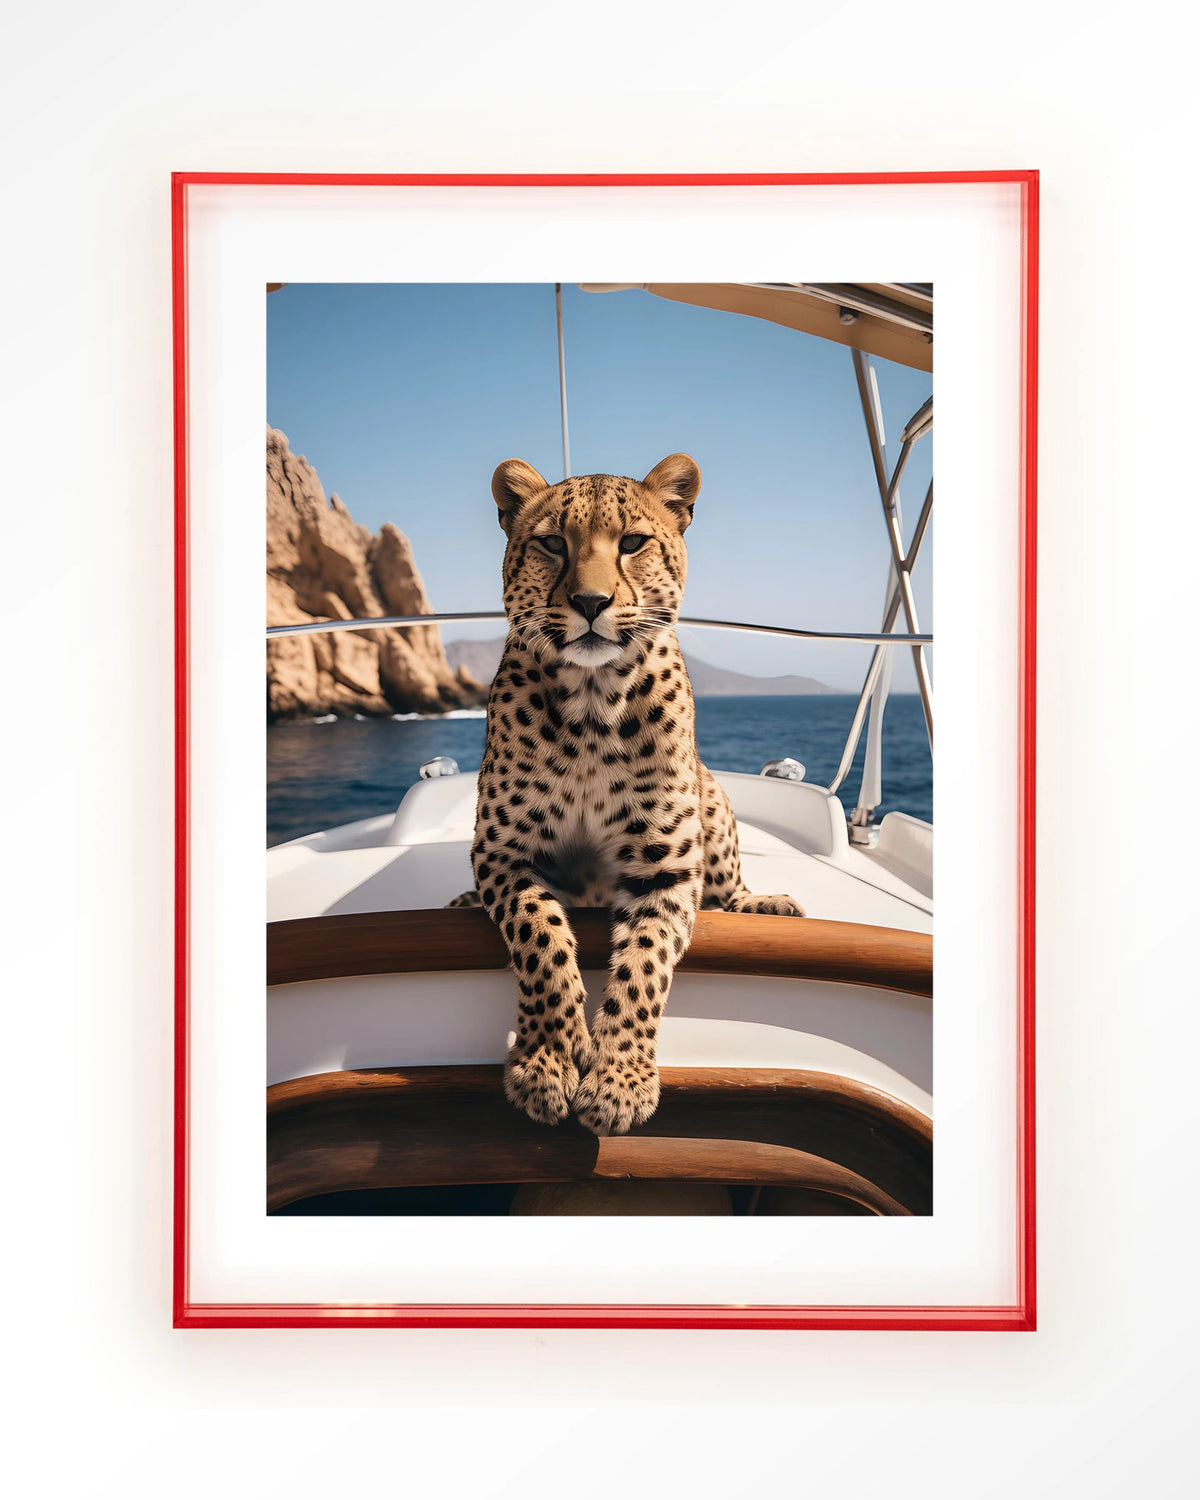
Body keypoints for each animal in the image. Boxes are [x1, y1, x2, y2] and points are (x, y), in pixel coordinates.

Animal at [447, 453, 805, 1136]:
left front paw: (619, 1082)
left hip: (713, 799)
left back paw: (764, 906)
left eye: (633, 543)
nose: (591, 601)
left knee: (728, 889)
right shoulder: (503, 852)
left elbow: (643, 967)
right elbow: (541, 938)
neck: (592, 704)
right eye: (553, 544)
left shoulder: (664, 867)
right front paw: (549, 1062)